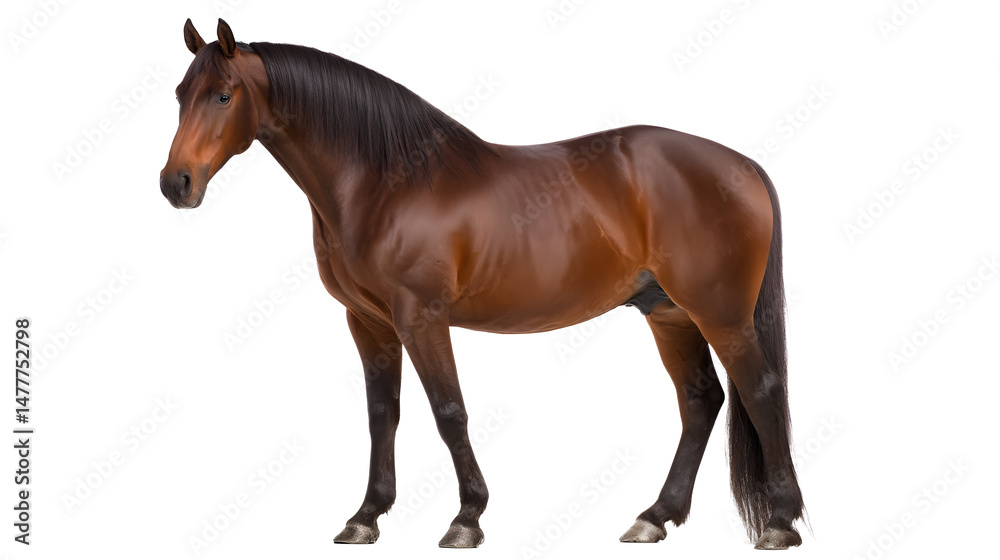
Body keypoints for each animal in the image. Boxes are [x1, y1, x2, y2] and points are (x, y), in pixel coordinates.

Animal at [160, 18, 805, 550]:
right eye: (179, 95)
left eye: (223, 95)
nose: (176, 183)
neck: (383, 183)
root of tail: (742, 165)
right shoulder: (367, 322)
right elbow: (382, 413)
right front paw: (366, 516)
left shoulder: (420, 317)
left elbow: (449, 412)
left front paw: (466, 518)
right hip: (668, 313)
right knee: (701, 401)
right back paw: (655, 516)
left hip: (720, 313)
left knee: (761, 391)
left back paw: (779, 522)